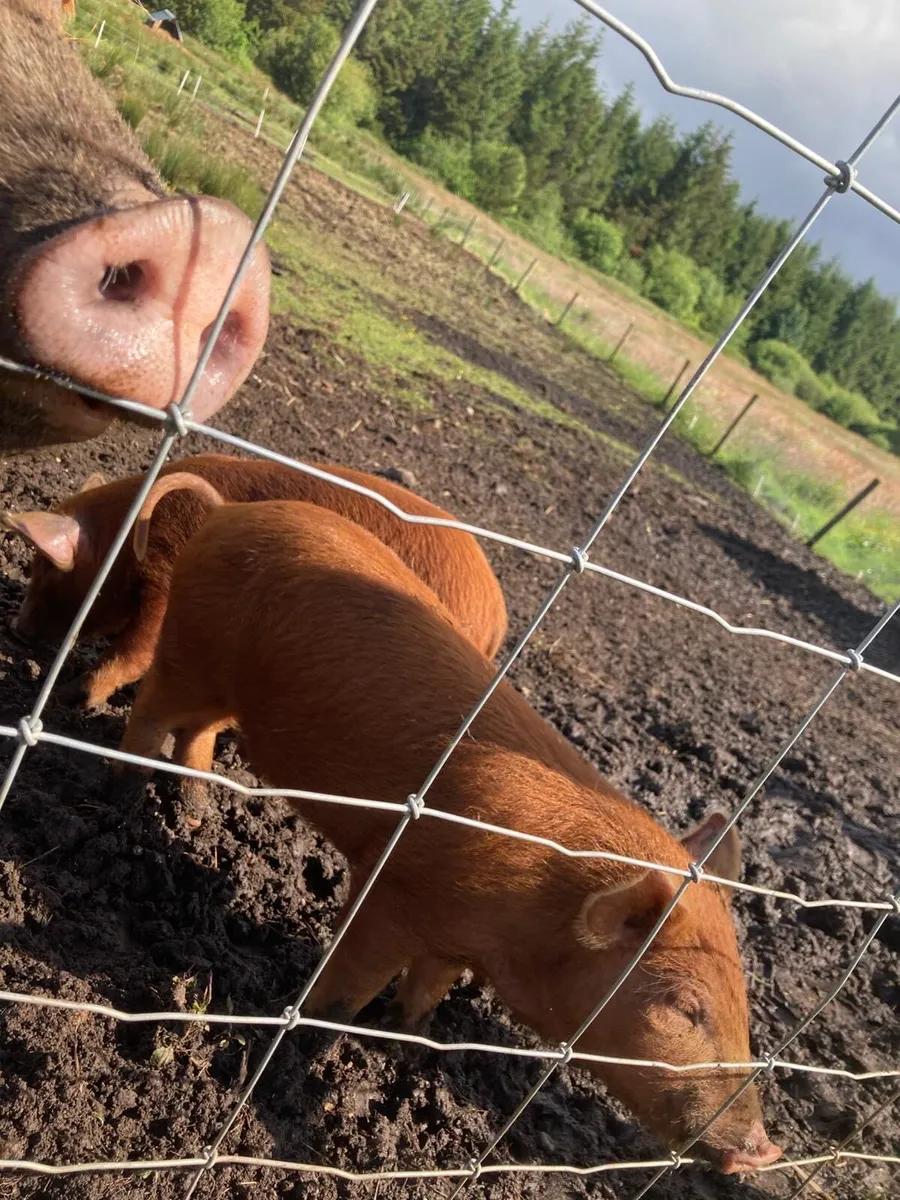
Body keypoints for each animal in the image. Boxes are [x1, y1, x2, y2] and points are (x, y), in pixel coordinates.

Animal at [2, 453, 508, 707]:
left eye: (44, 567)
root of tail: (498, 620)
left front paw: (77, 693)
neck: (124, 538)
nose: (17, 630)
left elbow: (138, 645)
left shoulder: (167, 565)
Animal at [112, 478, 782, 1174]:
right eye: (685, 1007)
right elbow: (346, 988)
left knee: (193, 735)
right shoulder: (393, 892)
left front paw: (407, 1047)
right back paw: (124, 796)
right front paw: (310, 1048)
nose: (766, 1151)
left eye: (742, 1005)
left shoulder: (451, 942)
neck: (534, 914)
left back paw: (193, 814)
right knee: (152, 708)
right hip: (190, 652)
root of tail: (227, 513)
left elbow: (425, 996)